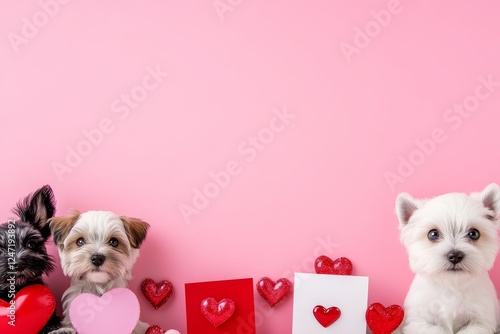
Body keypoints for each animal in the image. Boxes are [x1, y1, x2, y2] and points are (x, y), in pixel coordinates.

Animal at [394, 184, 500, 332]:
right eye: (432, 234)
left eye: (474, 233)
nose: (455, 256)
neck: (451, 286)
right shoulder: (419, 321)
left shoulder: (481, 321)